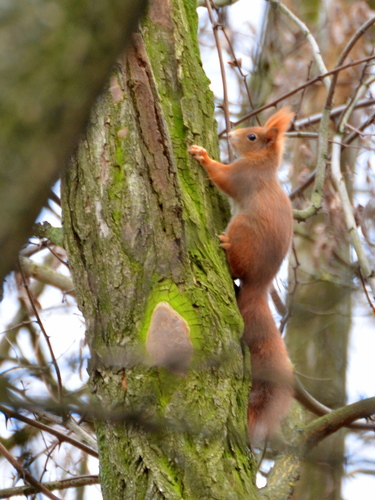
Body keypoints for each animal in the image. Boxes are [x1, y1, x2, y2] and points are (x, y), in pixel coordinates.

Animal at [189, 108, 296, 442]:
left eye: (252, 137)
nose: (230, 135)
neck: (262, 164)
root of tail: (260, 286)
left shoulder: (242, 176)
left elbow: (222, 177)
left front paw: (202, 155)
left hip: (242, 231)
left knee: (236, 266)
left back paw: (225, 247)